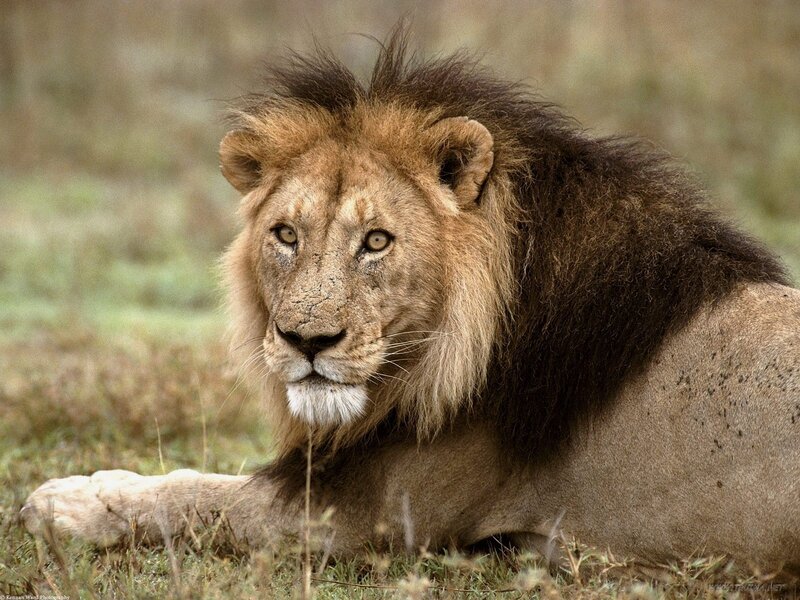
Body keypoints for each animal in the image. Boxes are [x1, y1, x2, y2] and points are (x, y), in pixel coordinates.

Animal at [21, 33, 800, 571]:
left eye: (376, 241)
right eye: (285, 234)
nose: (307, 342)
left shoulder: (365, 514)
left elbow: (199, 496)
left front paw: (62, 501)